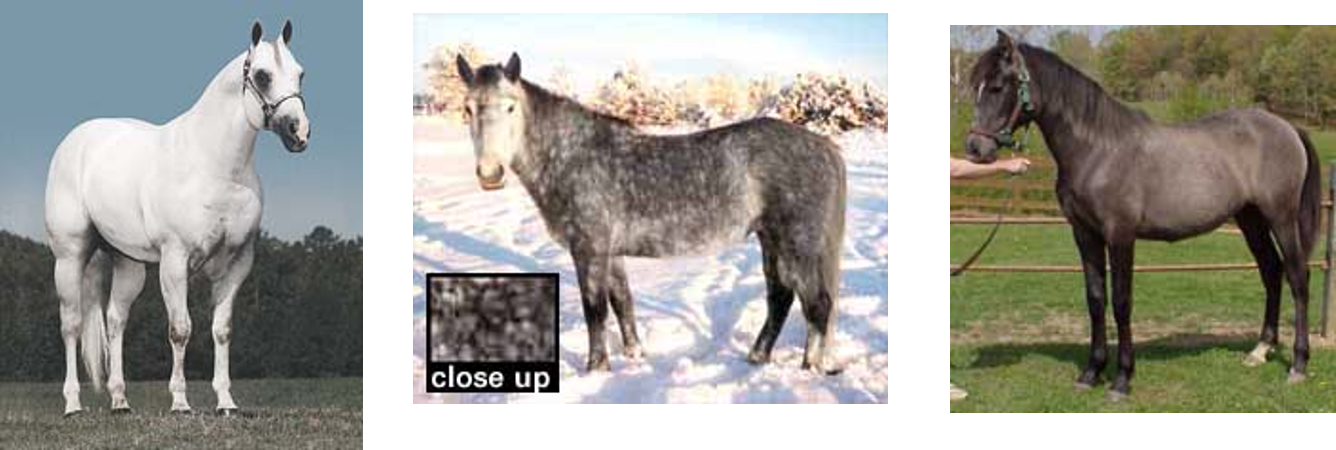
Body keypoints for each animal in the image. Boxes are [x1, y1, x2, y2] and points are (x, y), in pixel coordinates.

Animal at [45, 20, 309, 416]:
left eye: (300, 74)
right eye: (262, 76)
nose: (299, 132)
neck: (215, 166)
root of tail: (76, 141)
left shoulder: (238, 263)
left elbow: (222, 330)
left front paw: (226, 402)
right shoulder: (175, 260)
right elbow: (180, 329)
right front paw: (181, 403)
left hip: (128, 264)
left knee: (115, 321)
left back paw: (120, 401)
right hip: (70, 256)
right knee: (71, 325)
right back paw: (73, 404)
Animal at [455, 53, 846, 373]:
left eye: (510, 107)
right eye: (468, 108)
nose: (490, 174)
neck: (573, 155)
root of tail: (824, 146)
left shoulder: (589, 250)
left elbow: (594, 309)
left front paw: (596, 368)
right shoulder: (610, 252)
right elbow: (621, 302)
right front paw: (634, 356)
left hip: (797, 244)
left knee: (817, 305)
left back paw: (808, 369)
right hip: (771, 240)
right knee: (780, 297)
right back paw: (756, 358)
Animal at [965, 31, 1318, 400]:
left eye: (997, 86)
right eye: (976, 85)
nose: (975, 149)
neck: (1097, 150)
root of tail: (1288, 128)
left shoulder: (1120, 235)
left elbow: (1121, 302)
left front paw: (1122, 379)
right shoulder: (1085, 234)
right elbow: (1095, 299)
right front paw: (1091, 373)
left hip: (1281, 217)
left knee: (1298, 277)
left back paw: (1298, 365)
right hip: (1251, 220)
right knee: (1271, 272)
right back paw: (1260, 351)